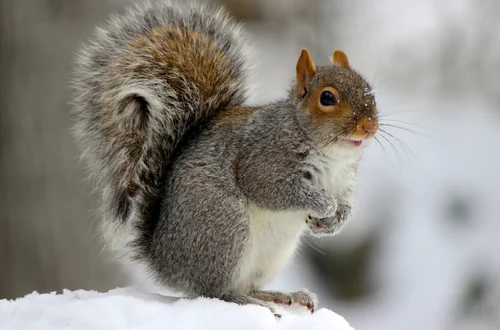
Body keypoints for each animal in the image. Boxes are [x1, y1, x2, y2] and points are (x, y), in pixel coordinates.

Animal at [72, 0, 378, 314]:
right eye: (327, 98)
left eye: (371, 92)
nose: (369, 126)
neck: (332, 152)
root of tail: (164, 262)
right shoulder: (263, 160)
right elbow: (275, 190)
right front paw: (323, 204)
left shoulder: (343, 178)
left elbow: (346, 204)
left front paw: (334, 221)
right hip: (225, 226)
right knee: (214, 290)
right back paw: (244, 299)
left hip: (268, 254)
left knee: (246, 284)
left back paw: (282, 295)